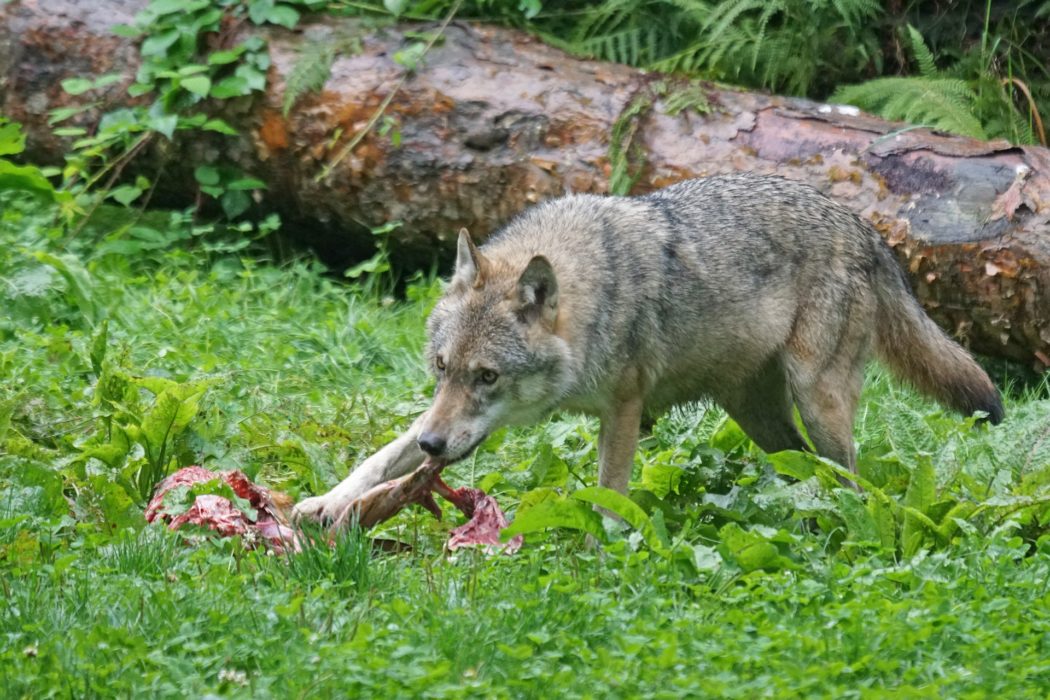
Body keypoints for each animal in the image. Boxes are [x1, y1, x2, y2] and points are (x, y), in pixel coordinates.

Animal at [294, 174, 1003, 523]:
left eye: (488, 377)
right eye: (443, 369)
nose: (436, 447)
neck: (591, 296)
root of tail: (864, 226)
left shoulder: (625, 409)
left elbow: (609, 490)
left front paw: (602, 554)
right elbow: (380, 456)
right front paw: (326, 503)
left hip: (816, 398)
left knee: (851, 479)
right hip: (757, 414)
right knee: (803, 466)